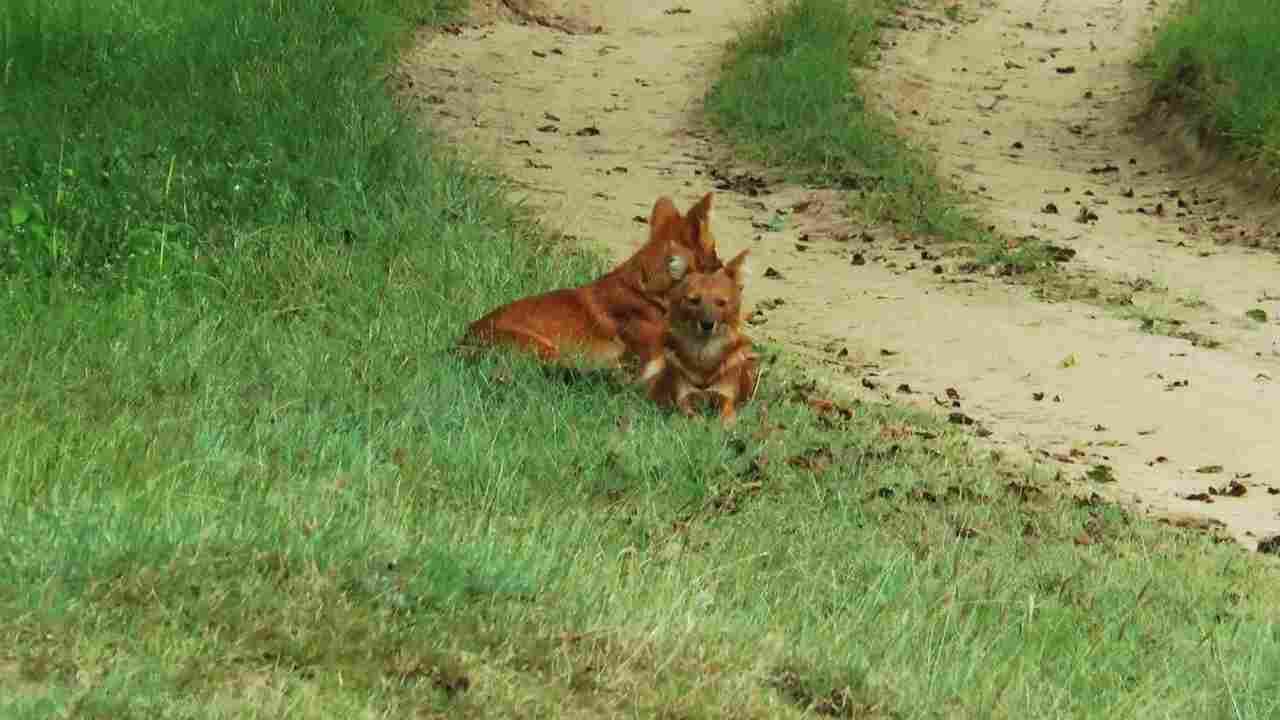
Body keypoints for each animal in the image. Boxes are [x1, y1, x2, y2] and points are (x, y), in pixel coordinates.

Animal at [645, 248, 752, 422]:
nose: (707, 324)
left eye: (721, 303)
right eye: (694, 300)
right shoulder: (684, 398)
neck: (704, 355)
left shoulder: (726, 397)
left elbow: (726, 417)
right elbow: (693, 418)